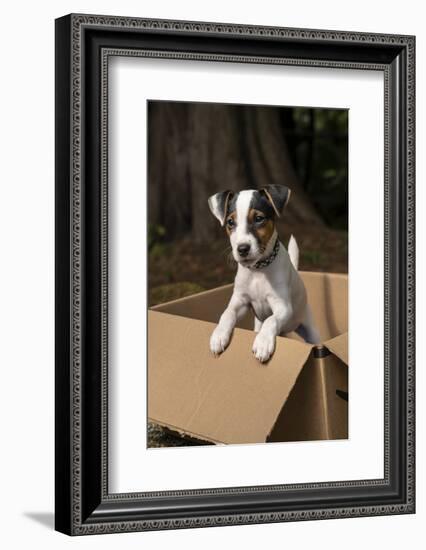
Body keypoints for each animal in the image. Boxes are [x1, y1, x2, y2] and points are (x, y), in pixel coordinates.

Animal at [208, 187, 322, 366]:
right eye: (230, 222)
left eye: (259, 219)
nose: (242, 249)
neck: (258, 270)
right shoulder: (240, 301)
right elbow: (227, 313)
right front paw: (219, 335)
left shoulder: (282, 307)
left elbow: (271, 319)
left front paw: (262, 343)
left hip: (310, 329)